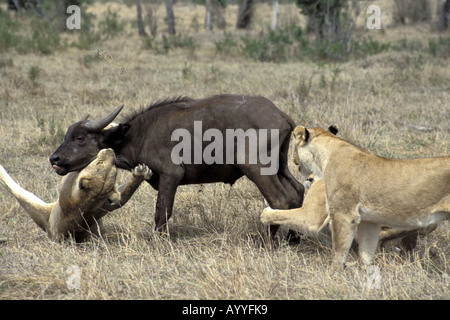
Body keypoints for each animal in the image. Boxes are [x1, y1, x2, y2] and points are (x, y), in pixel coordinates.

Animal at [49, 94, 304, 235]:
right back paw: (293, 238)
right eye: (68, 136)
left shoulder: (170, 175)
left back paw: (267, 242)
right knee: (297, 193)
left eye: (80, 138)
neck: (139, 134)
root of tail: (279, 115)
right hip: (280, 167)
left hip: (255, 168)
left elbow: (162, 211)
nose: (54, 159)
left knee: (279, 200)